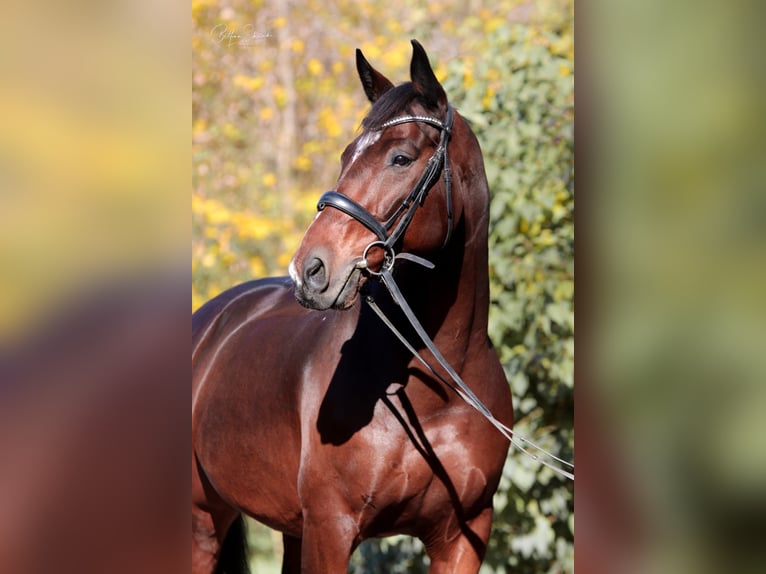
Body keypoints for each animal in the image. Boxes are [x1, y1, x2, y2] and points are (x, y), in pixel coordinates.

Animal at [192, 41, 516, 574]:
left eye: (401, 158)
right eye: (346, 155)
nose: (309, 270)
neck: (434, 395)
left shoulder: (463, 537)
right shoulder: (332, 528)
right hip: (204, 521)